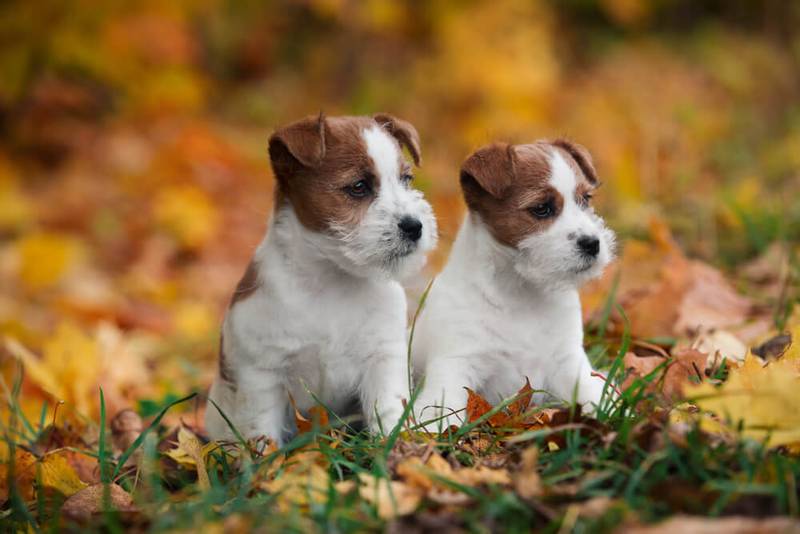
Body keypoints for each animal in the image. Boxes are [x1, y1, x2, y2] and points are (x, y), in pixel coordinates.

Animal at [205, 114, 438, 448]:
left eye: (407, 179)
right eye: (358, 186)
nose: (414, 226)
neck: (332, 279)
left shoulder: (383, 357)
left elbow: (388, 408)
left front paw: (394, 445)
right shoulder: (263, 376)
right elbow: (263, 431)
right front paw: (265, 460)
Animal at [412, 140, 612, 430]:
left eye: (585, 199)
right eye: (541, 208)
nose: (592, 243)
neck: (522, 291)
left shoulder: (568, 360)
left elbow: (590, 391)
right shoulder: (457, 361)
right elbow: (443, 402)